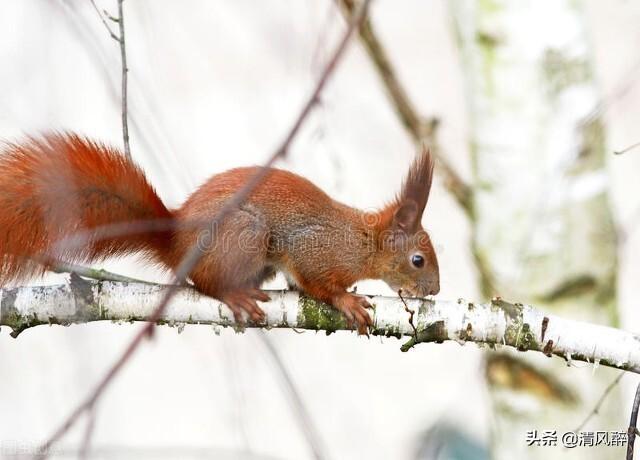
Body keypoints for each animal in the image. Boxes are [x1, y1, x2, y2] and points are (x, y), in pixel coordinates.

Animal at [0, 132, 440, 330]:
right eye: (418, 260)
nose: (435, 291)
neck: (364, 243)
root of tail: (176, 243)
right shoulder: (316, 249)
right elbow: (317, 282)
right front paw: (346, 301)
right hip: (245, 233)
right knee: (205, 282)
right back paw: (234, 294)